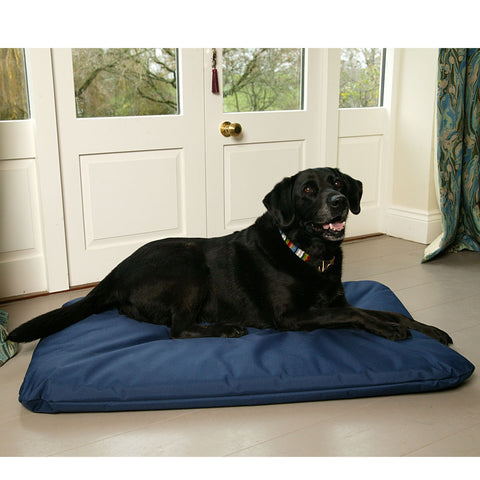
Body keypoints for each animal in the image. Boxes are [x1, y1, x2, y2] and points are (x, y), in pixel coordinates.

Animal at [6, 168, 450, 344]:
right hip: (188, 265)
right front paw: (389, 331)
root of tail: (113, 274)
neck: (309, 255)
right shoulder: (292, 317)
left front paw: (432, 330)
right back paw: (226, 329)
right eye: (308, 190)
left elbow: (387, 310)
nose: (339, 202)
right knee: (178, 330)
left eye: (338, 183)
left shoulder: (334, 300)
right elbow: (358, 314)